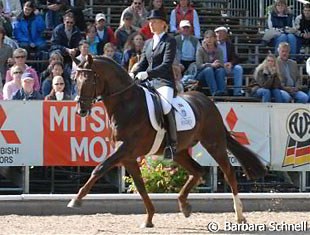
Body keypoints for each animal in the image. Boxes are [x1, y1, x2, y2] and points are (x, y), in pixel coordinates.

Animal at [68, 55, 266, 228]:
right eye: (74, 80)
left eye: (88, 81)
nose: (81, 111)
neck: (126, 104)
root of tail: (207, 100)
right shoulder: (128, 157)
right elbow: (140, 186)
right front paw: (149, 219)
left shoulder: (125, 149)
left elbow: (99, 168)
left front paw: (76, 200)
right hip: (179, 152)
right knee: (198, 170)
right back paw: (184, 205)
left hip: (214, 143)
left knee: (228, 172)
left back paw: (239, 215)